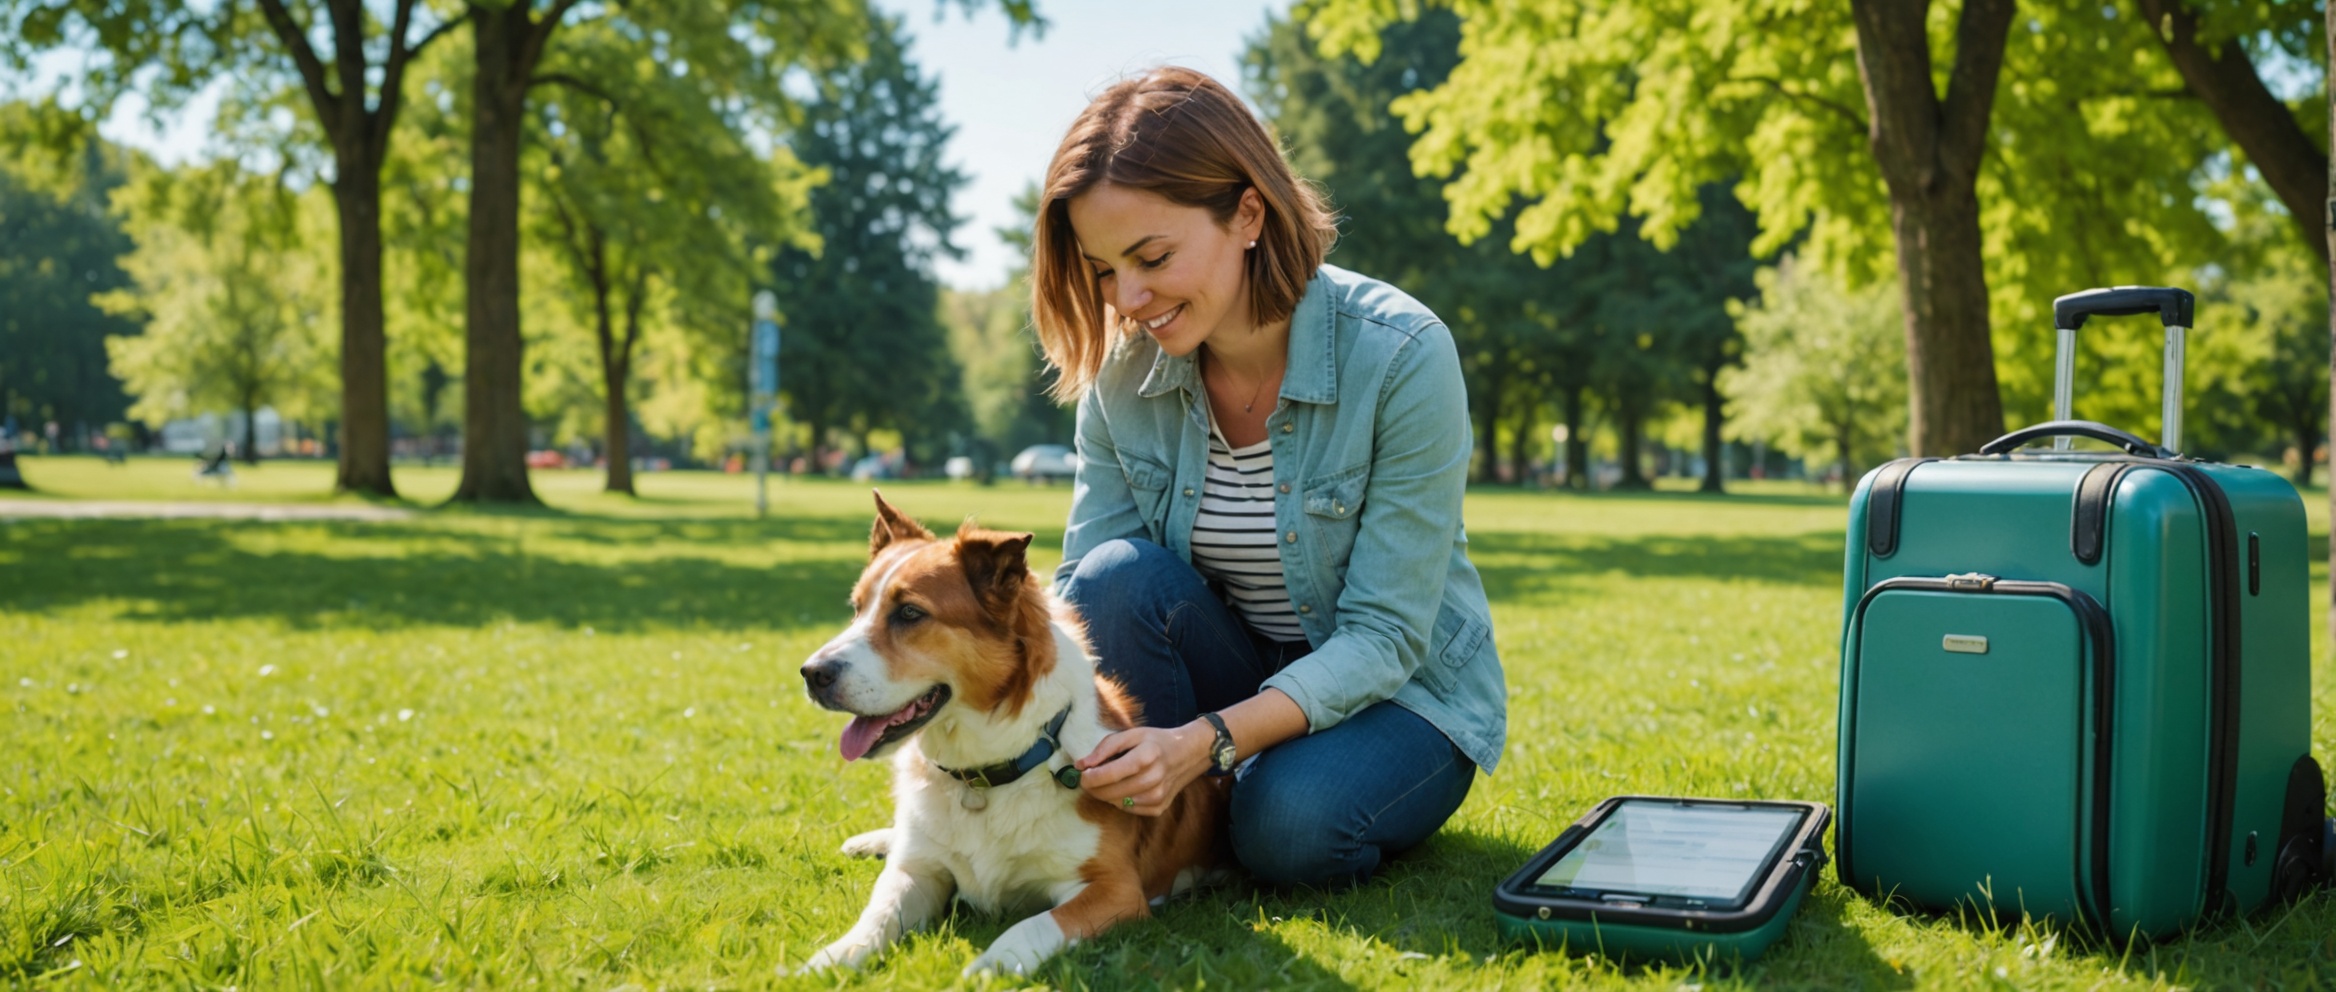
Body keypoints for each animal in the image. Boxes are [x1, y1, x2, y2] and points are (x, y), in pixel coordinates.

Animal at [803, 494, 1233, 975]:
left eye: (910, 613)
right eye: (857, 609)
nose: (812, 674)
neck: (983, 774)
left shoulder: (1116, 890)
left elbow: (1030, 928)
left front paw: (985, 969)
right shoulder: (916, 873)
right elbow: (877, 914)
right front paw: (831, 958)